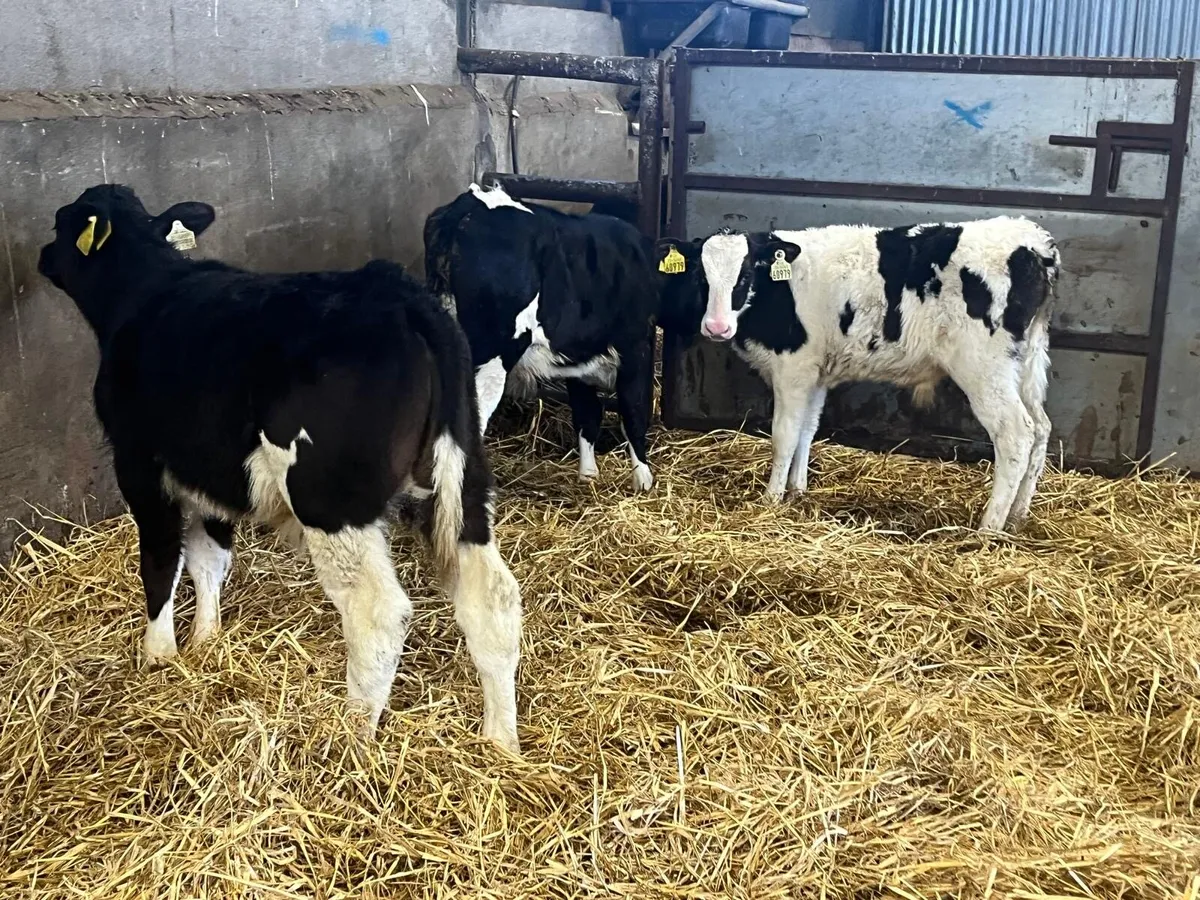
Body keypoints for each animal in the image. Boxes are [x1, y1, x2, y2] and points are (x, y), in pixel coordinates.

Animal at [37, 184, 523, 751]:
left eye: (60, 221)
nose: (43, 256)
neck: (143, 294)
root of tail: (400, 295)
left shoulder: (139, 464)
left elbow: (160, 560)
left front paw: (159, 654)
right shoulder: (210, 473)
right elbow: (208, 557)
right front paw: (206, 639)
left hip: (330, 501)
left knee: (376, 613)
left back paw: (351, 736)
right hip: (462, 481)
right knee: (491, 596)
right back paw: (500, 743)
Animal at [423, 183, 696, 493]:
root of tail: (468, 204)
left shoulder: (581, 358)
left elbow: (587, 415)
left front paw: (588, 475)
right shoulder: (635, 345)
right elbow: (633, 412)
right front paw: (643, 481)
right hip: (489, 361)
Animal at [656, 217, 1060, 533]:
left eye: (744, 274)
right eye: (701, 275)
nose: (716, 327)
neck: (780, 289)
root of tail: (1033, 241)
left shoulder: (794, 368)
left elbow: (784, 435)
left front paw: (771, 499)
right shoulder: (815, 373)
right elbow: (807, 430)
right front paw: (797, 492)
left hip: (983, 368)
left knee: (1016, 434)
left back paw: (988, 527)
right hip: (1027, 362)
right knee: (1041, 429)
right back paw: (1018, 517)